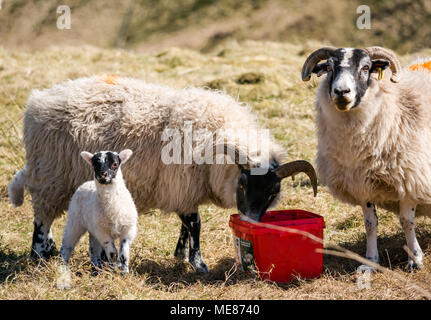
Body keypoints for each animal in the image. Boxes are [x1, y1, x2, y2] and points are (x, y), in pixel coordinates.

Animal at [60, 148, 138, 276]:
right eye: (95, 165)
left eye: (115, 164)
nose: (102, 174)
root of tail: (87, 183)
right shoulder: (102, 231)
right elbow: (112, 253)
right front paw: (112, 270)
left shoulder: (128, 230)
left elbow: (124, 254)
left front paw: (124, 273)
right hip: (75, 221)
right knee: (67, 245)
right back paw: (62, 268)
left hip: (93, 228)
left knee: (93, 249)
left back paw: (96, 270)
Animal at [302, 45, 431, 270]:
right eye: (329, 67)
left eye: (365, 68)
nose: (341, 92)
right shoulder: (361, 183)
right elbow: (370, 224)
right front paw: (370, 262)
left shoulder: (411, 179)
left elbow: (407, 222)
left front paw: (415, 259)